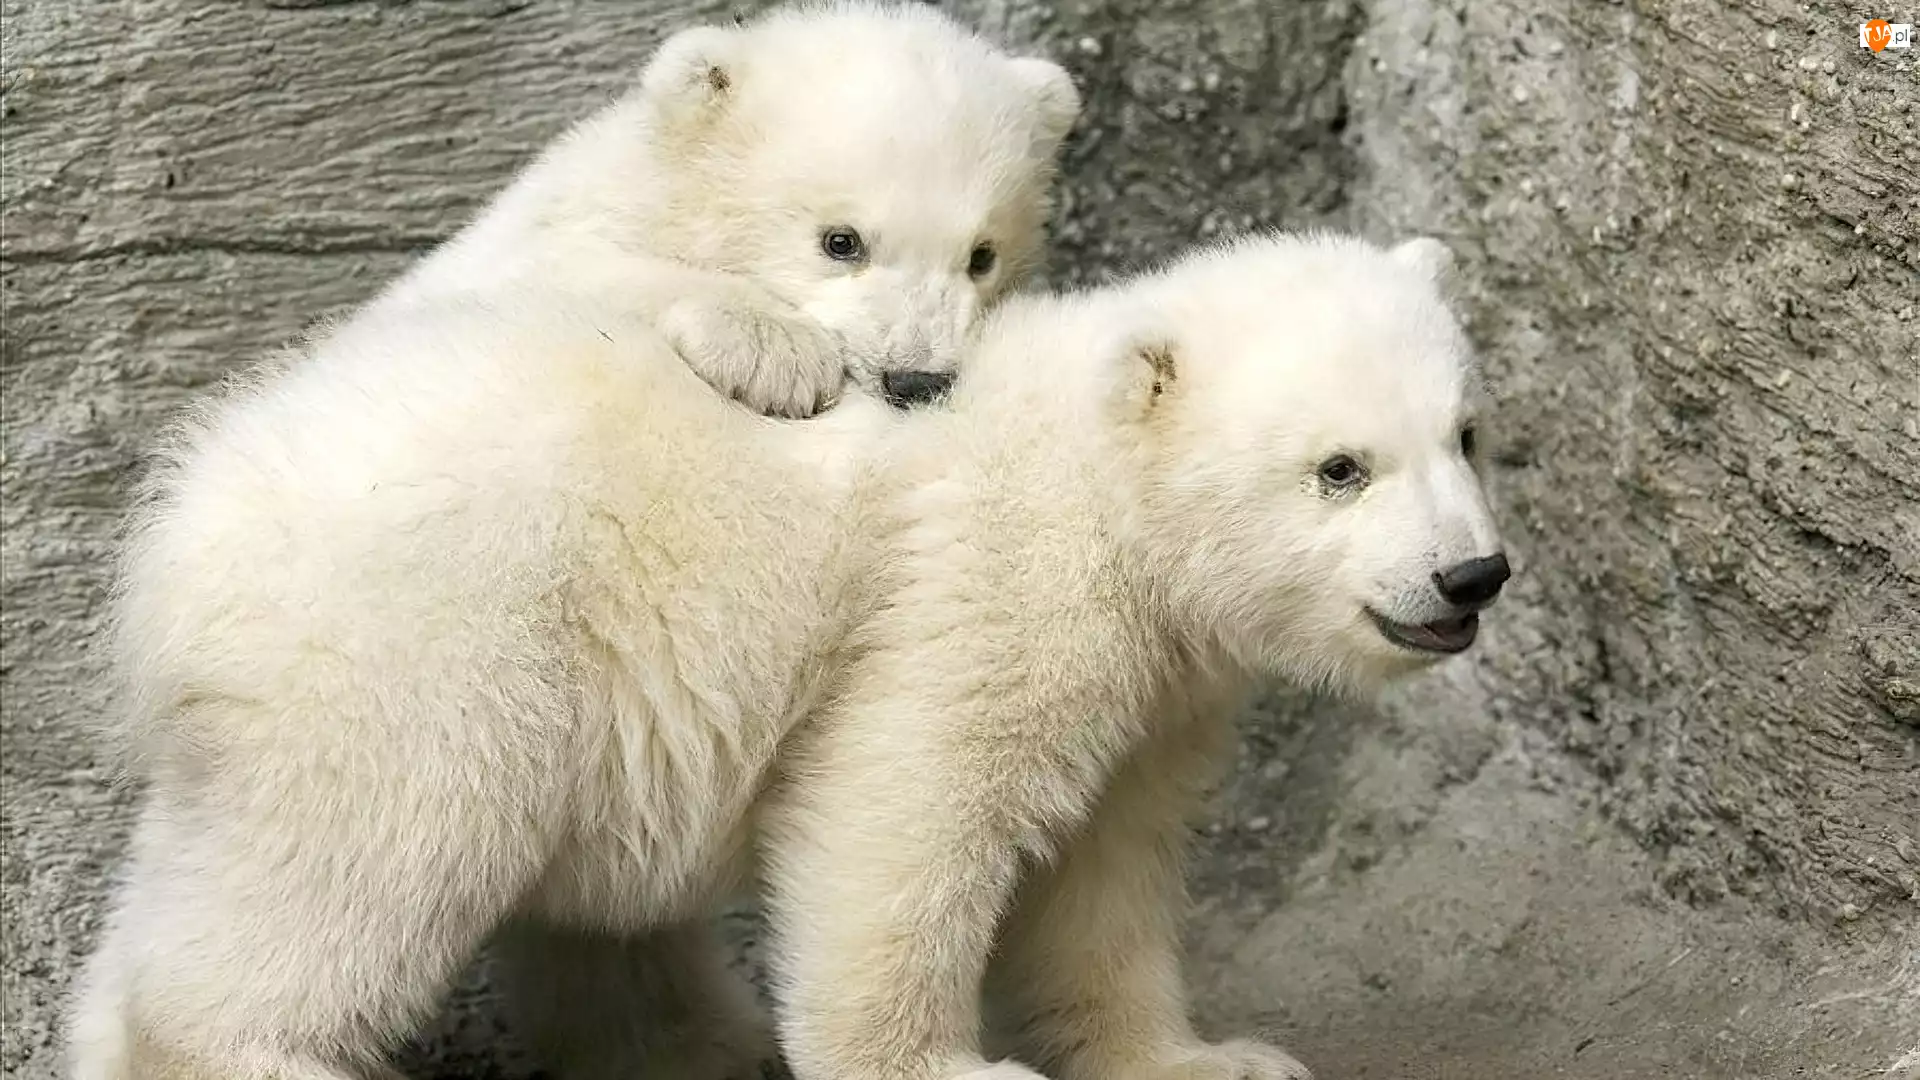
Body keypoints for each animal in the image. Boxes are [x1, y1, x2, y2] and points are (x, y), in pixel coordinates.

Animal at [753, 231, 1509, 1080]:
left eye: (1466, 435)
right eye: (1340, 469)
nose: (1471, 575)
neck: (1097, 479)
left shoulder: (1145, 700)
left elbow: (1104, 864)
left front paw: (1208, 1060)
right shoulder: (989, 591)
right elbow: (906, 798)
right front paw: (936, 1064)